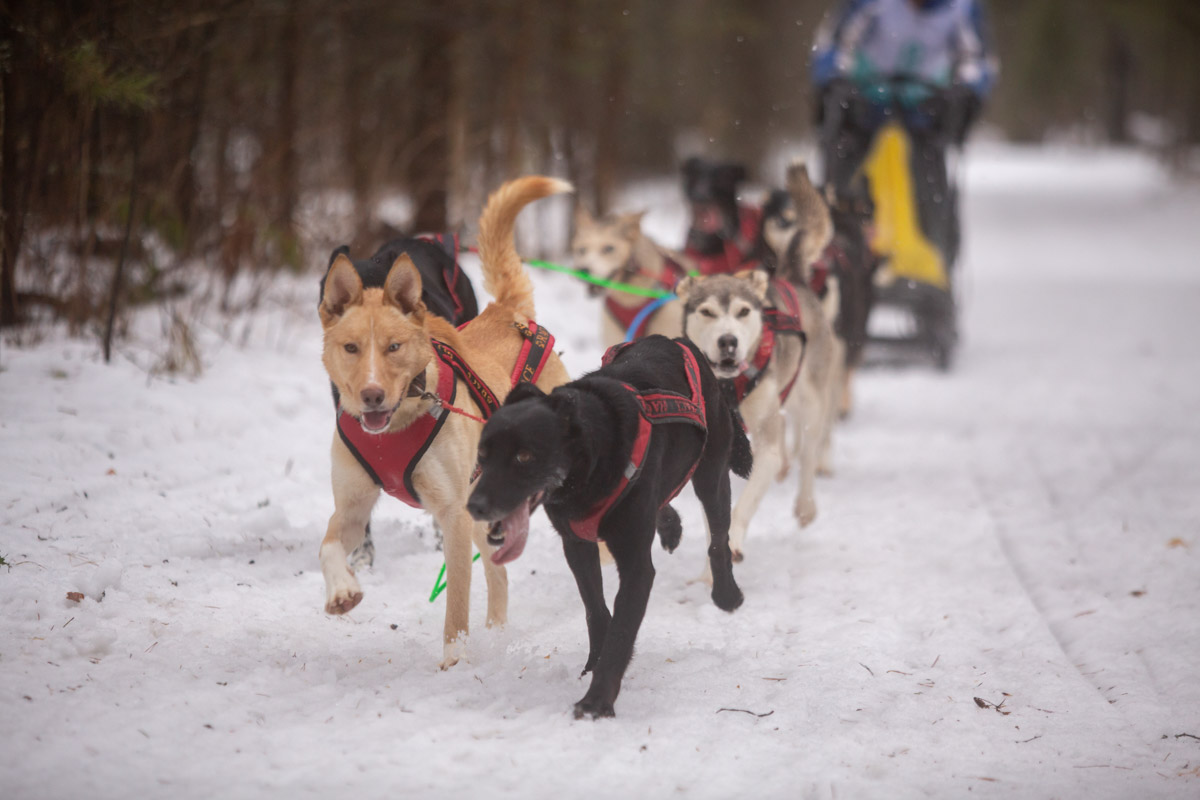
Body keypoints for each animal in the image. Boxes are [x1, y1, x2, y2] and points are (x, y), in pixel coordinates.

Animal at [465, 335, 748, 724]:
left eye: (524, 456)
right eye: (483, 454)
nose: (474, 505)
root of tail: (677, 340)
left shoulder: (636, 566)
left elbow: (621, 633)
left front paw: (596, 701)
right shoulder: (576, 544)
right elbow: (596, 611)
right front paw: (592, 663)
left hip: (711, 473)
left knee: (718, 538)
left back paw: (726, 593)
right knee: (665, 502)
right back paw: (671, 527)